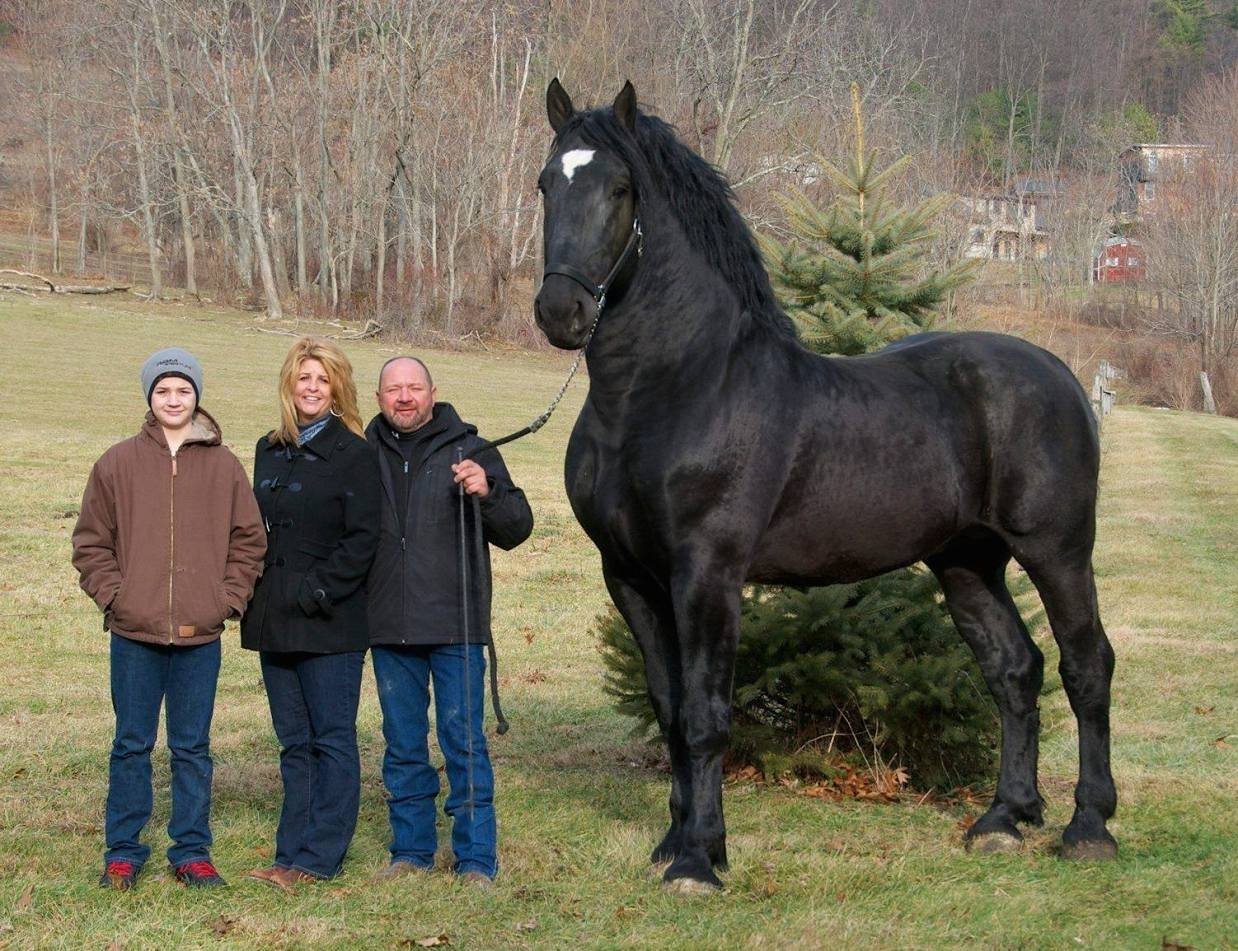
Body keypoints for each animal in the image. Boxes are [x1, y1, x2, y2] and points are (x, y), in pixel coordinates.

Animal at [537, 81, 1119, 891]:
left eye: (619, 188)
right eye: (546, 184)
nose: (561, 312)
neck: (675, 389)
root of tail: (1060, 374)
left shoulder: (707, 574)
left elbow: (706, 714)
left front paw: (700, 860)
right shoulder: (629, 576)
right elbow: (669, 709)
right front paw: (676, 838)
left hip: (1057, 551)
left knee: (1086, 664)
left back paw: (1089, 826)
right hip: (967, 562)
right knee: (1014, 670)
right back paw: (1004, 818)